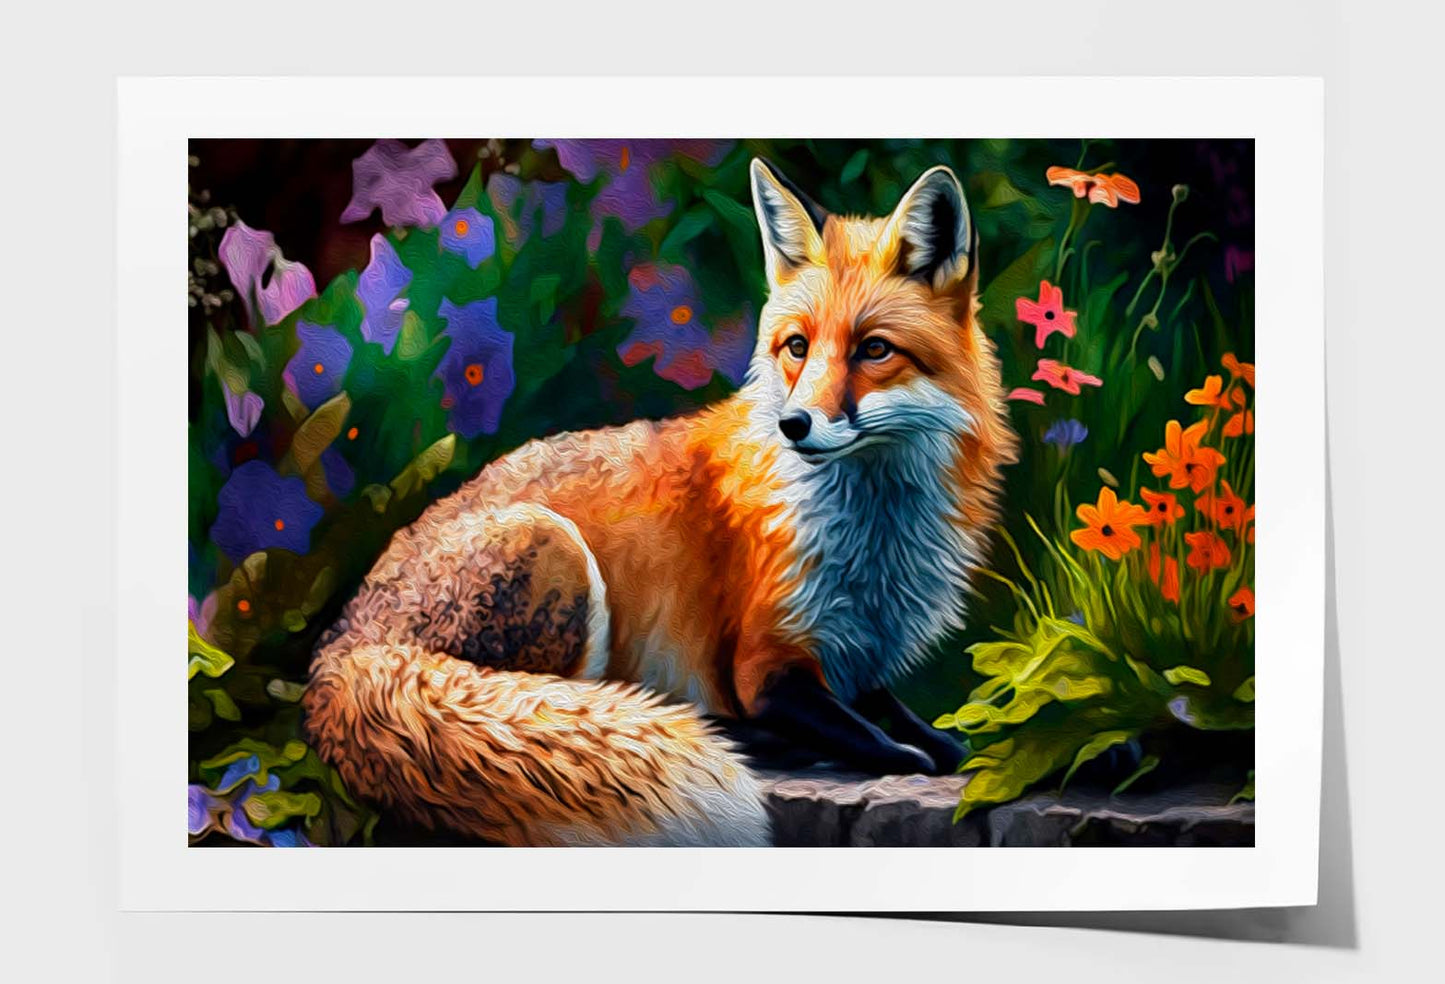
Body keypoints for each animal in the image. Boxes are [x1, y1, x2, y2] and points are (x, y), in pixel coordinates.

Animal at [303, 158, 1017, 846]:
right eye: (797, 346)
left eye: (874, 350)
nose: (794, 425)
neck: (873, 537)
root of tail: (341, 646)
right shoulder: (765, 665)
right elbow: (884, 742)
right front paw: (887, 751)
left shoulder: (857, 654)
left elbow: (919, 729)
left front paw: (938, 738)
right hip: (558, 555)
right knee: (573, 699)